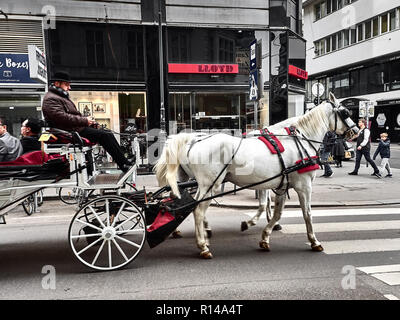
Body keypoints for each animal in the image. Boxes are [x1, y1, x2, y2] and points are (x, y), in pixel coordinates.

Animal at [155, 94, 358, 258]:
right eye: (345, 112)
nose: (356, 131)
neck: (299, 141)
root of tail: (194, 141)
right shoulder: (304, 186)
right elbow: (307, 213)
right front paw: (314, 241)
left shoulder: (280, 186)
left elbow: (276, 212)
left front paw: (265, 236)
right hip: (209, 184)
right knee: (197, 210)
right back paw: (203, 245)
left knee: (182, 201)